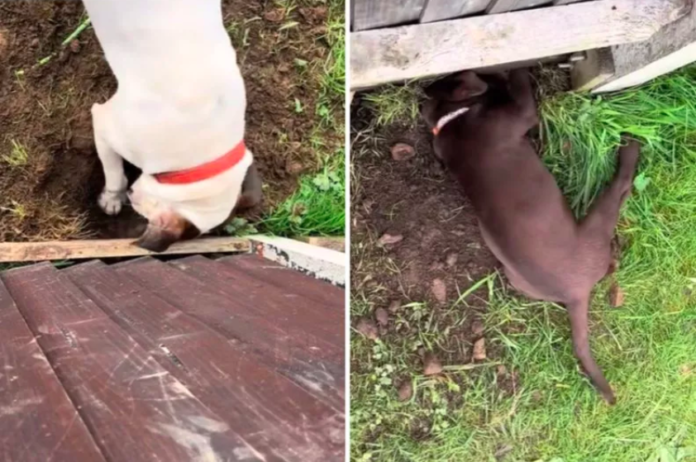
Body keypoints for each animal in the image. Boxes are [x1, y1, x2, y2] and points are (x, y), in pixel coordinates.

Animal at [422, 69, 640, 404]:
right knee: (620, 189)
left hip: (518, 278)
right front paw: (515, 70)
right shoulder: (523, 114)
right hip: (597, 225)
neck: (450, 118)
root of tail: (575, 294)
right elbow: (522, 88)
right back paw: (630, 151)